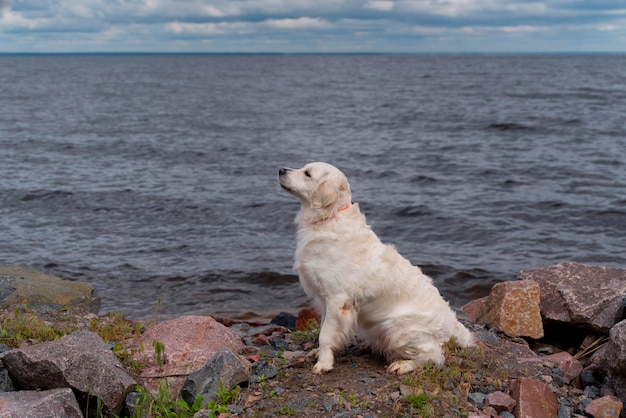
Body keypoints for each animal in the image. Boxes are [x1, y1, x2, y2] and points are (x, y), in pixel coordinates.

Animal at [278, 162, 472, 374]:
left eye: (307, 174)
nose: (280, 170)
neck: (328, 217)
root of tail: (452, 324)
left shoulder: (337, 300)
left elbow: (325, 335)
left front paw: (324, 363)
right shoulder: (324, 299)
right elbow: (324, 329)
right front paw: (319, 353)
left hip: (396, 327)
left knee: (434, 357)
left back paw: (402, 365)